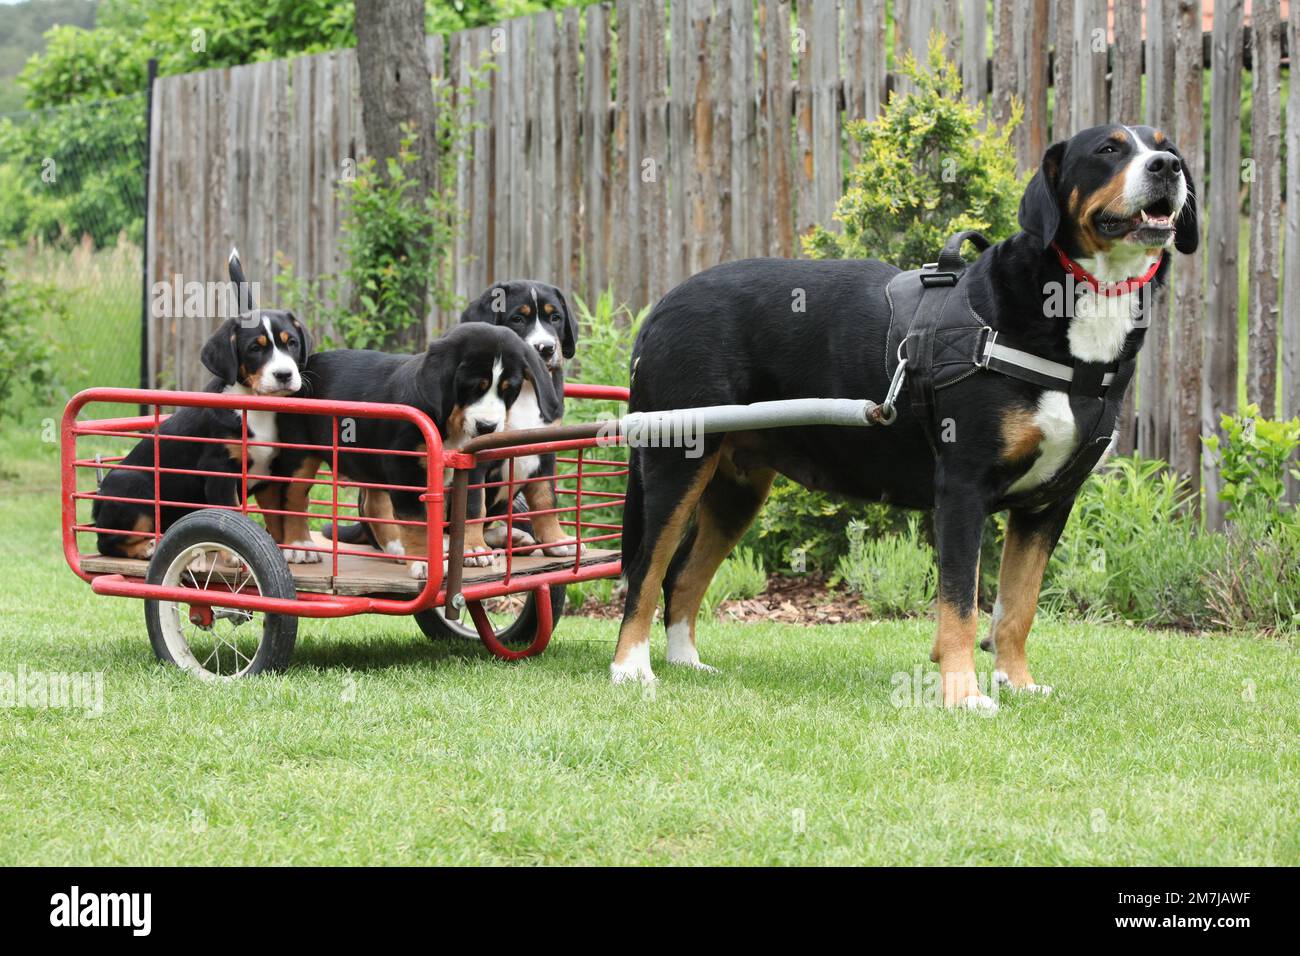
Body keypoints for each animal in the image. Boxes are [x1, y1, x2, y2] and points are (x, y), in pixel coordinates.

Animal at [276, 323, 561, 574]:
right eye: (472, 387)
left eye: (509, 390)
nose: (487, 426)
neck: (449, 422)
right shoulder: (406, 466)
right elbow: (419, 520)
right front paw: (425, 562)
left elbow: (534, 499)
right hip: (300, 454)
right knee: (293, 498)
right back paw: (299, 546)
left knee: (373, 506)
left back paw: (398, 548)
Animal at [613, 125, 1201, 712]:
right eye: (1109, 149)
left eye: (1166, 147)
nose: (1166, 166)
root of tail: (663, 305)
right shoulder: (963, 488)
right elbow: (961, 607)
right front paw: (963, 695)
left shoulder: (1048, 503)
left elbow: (1017, 609)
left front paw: (1018, 683)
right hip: (677, 460)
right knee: (644, 570)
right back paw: (631, 669)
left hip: (736, 488)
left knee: (682, 576)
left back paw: (686, 662)